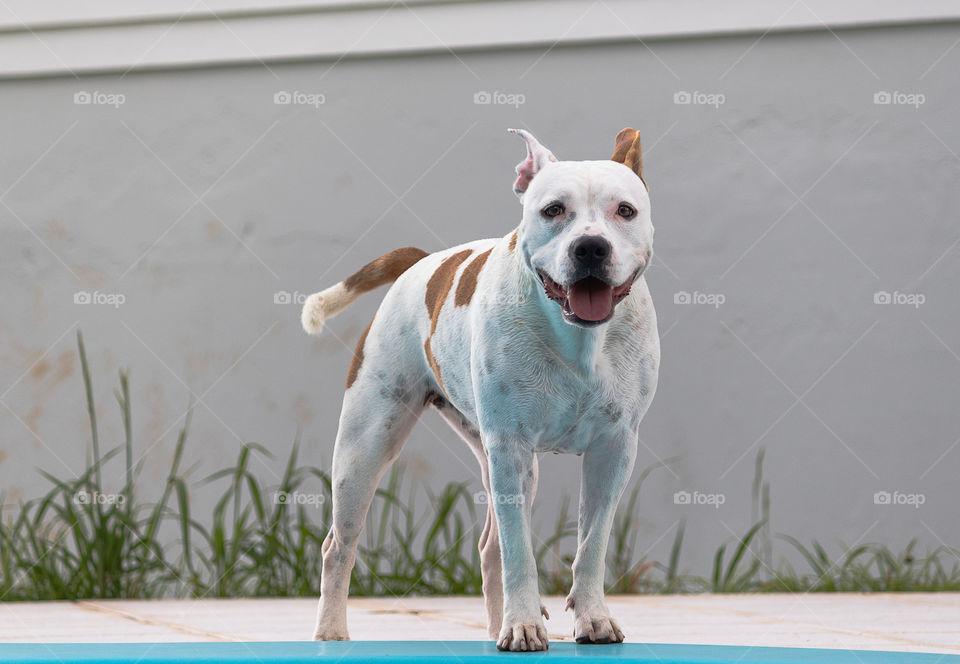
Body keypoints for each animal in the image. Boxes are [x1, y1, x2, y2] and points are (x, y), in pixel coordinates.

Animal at [302, 127, 660, 652]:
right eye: (553, 209)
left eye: (626, 211)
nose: (591, 247)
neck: (578, 336)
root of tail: (422, 263)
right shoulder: (510, 447)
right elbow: (519, 551)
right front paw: (525, 624)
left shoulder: (614, 449)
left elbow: (592, 543)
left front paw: (592, 619)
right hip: (364, 449)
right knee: (339, 546)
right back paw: (331, 632)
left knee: (491, 546)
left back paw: (496, 626)